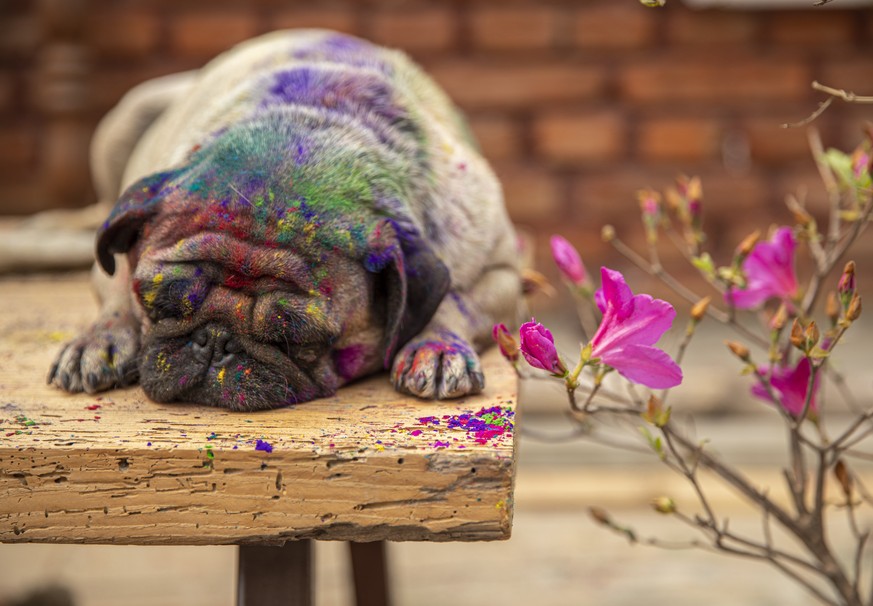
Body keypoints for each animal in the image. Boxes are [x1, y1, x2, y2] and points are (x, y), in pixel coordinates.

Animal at [47, 29, 520, 414]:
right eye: (159, 305)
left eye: (298, 340)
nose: (215, 341)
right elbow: (115, 294)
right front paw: (100, 340)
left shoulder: (506, 274)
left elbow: (454, 300)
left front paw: (436, 347)